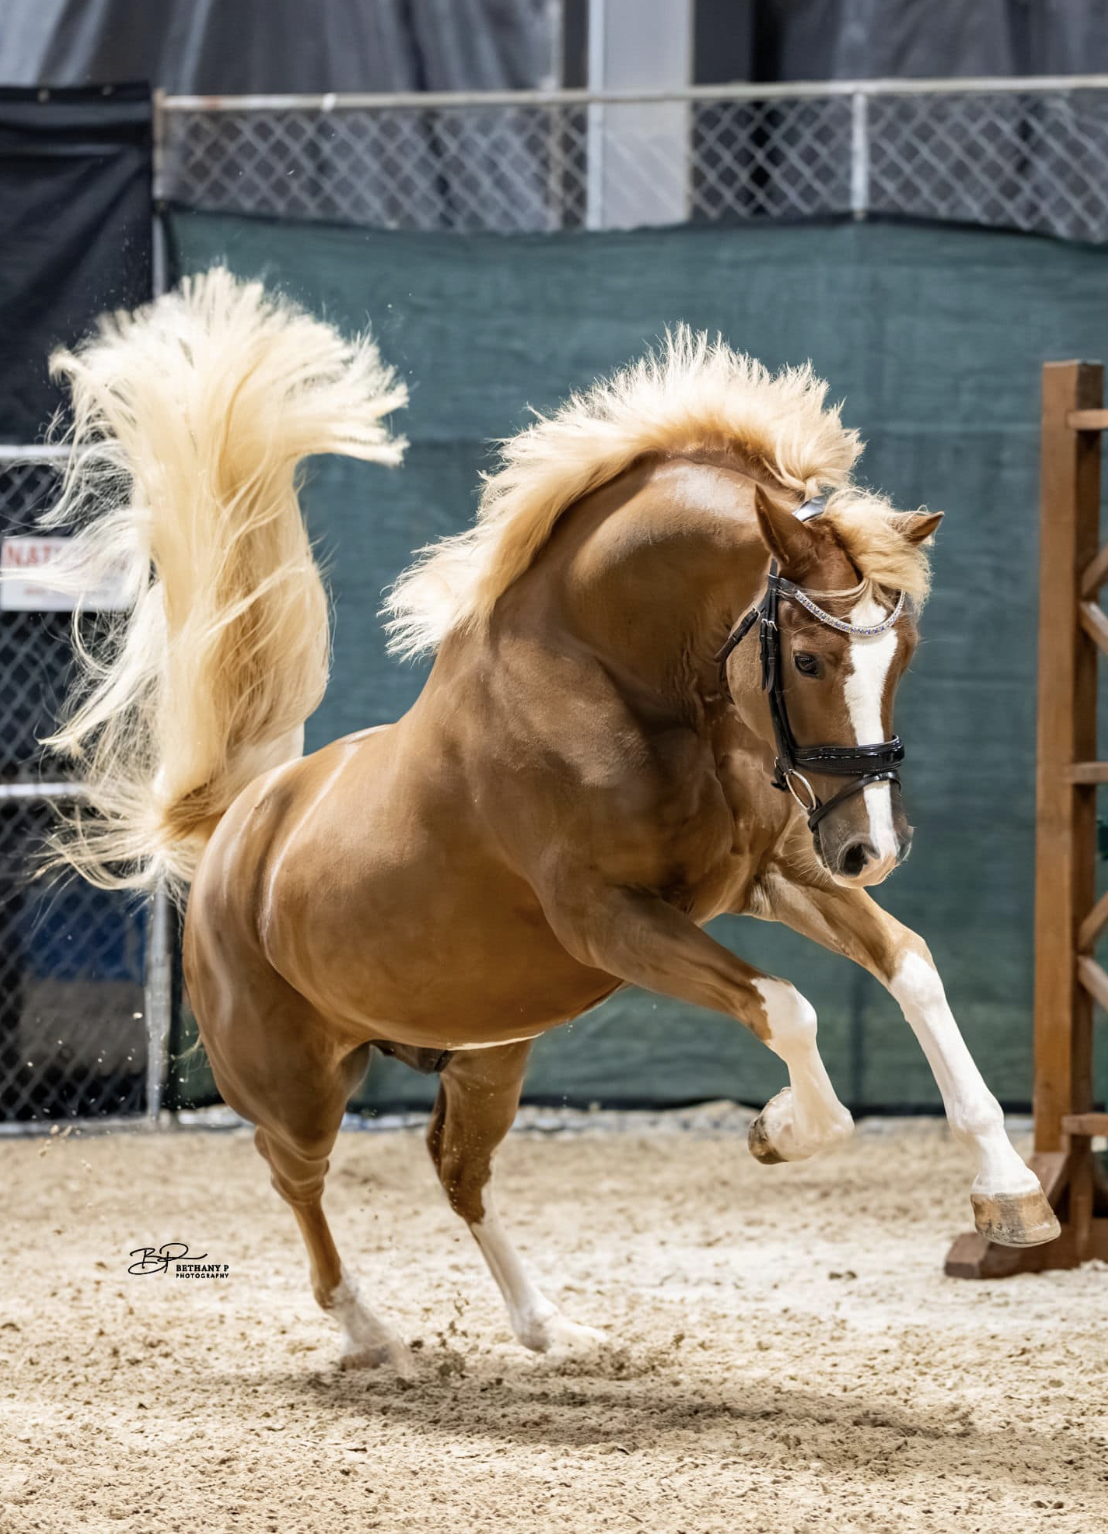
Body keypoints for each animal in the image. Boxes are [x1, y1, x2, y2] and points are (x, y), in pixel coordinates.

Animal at [39, 270, 1058, 1373]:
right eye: (809, 659)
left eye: (901, 653)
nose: (871, 847)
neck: (618, 683)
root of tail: (233, 833)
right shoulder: (611, 919)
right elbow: (790, 1007)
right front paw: (779, 1130)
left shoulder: (769, 874)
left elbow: (912, 966)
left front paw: (1010, 1197)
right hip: (295, 1080)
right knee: (297, 1181)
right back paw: (371, 1334)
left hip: (488, 1049)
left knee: (457, 1171)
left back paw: (552, 1328)